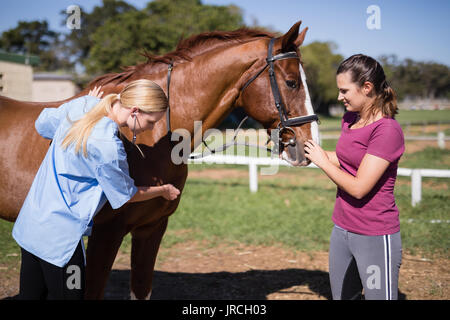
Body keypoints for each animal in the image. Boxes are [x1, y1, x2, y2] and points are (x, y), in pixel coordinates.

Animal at [0, 21, 316, 298]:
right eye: (291, 82)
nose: (307, 146)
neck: (151, 137)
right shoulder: (106, 233)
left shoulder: (151, 228)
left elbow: (141, 289)